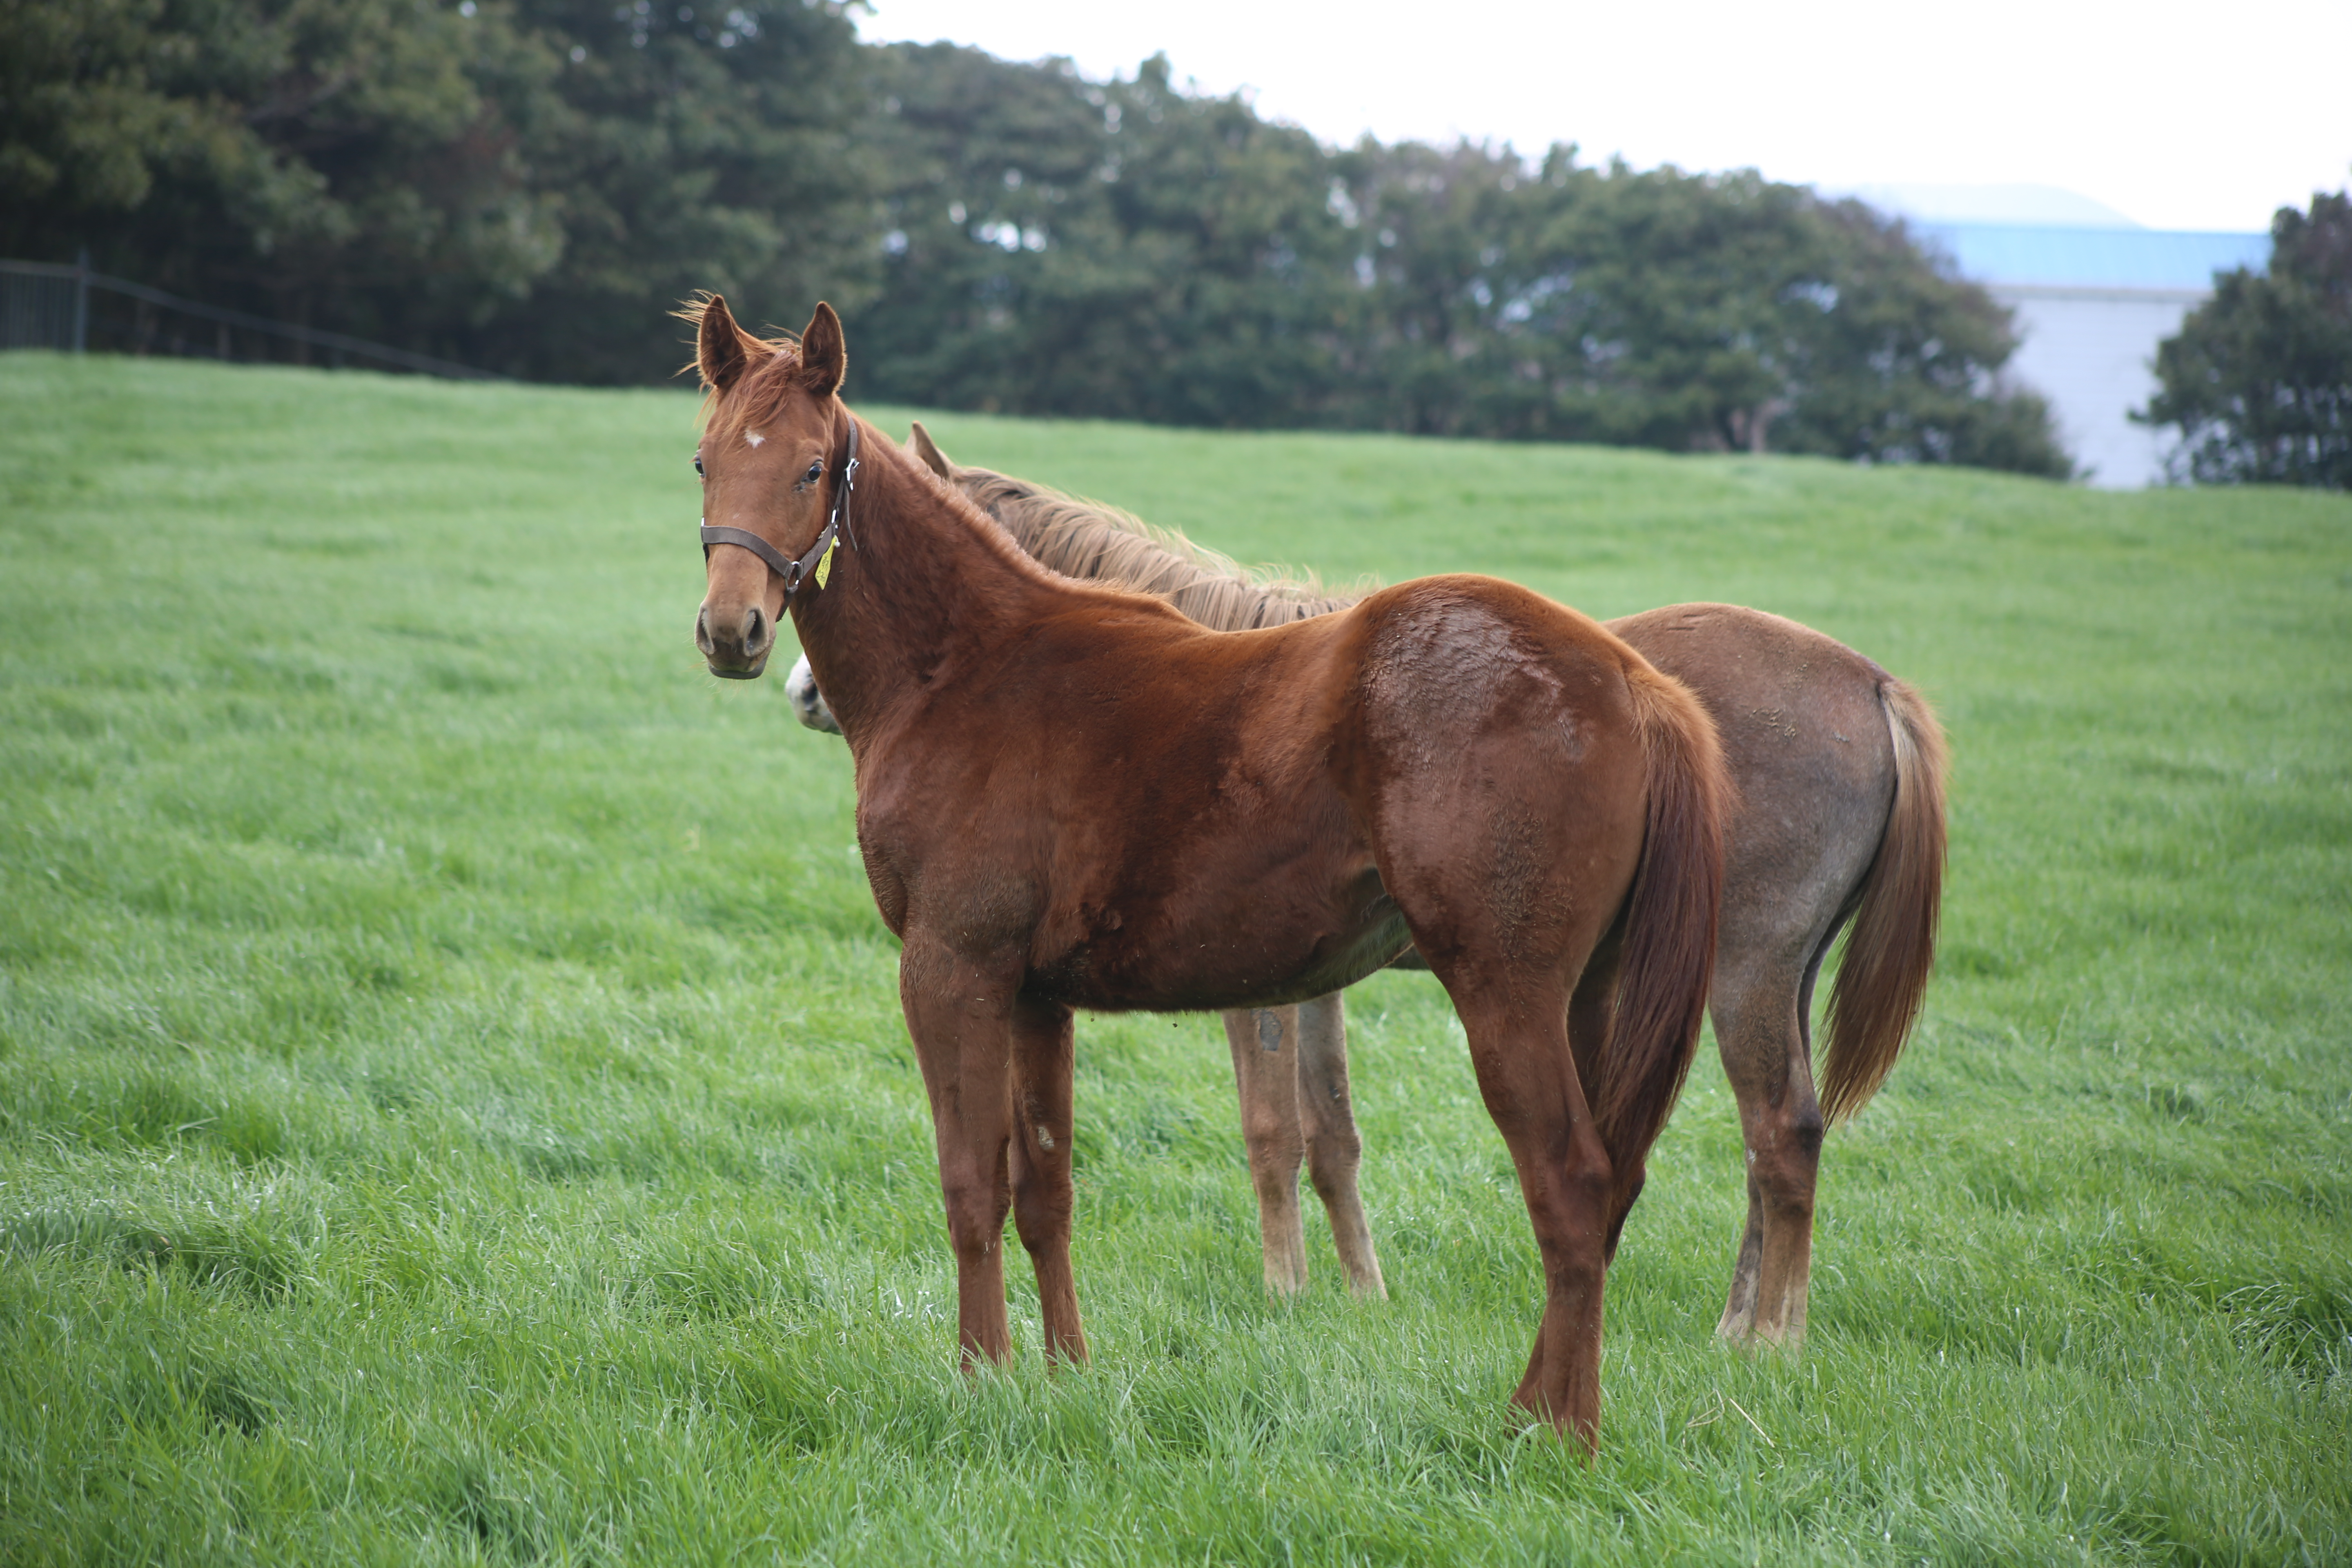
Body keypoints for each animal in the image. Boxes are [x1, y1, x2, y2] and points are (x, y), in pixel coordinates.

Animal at [686, 297, 1731, 1448]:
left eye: (811, 468)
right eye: (703, 462)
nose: (732, 634)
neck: (964, 669)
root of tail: (1632, 680)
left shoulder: (951, 970)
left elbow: (971, 1185)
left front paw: (979, 1378)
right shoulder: (1035, 997)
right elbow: (1045, 1185)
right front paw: (1064, 1372)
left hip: (1506, 996)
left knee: (1570, 1186)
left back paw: (1558, 1433)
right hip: (1590, 1001)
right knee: (1604, 1188)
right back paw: (1535, 1413)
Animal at [795, 421, 1947, 1354]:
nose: (804, 688)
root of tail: (1870, 684)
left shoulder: (1250, 992)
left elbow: (1272, 1132)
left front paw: (1285, 1290)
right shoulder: (1310, 980)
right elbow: (1331, 1135)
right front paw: (1358, 1293)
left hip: (1741, 974)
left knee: (1780, 1135)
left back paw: (1767, 1339)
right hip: (1766, 977)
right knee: (1778, 1138)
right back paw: (1742, 1322)